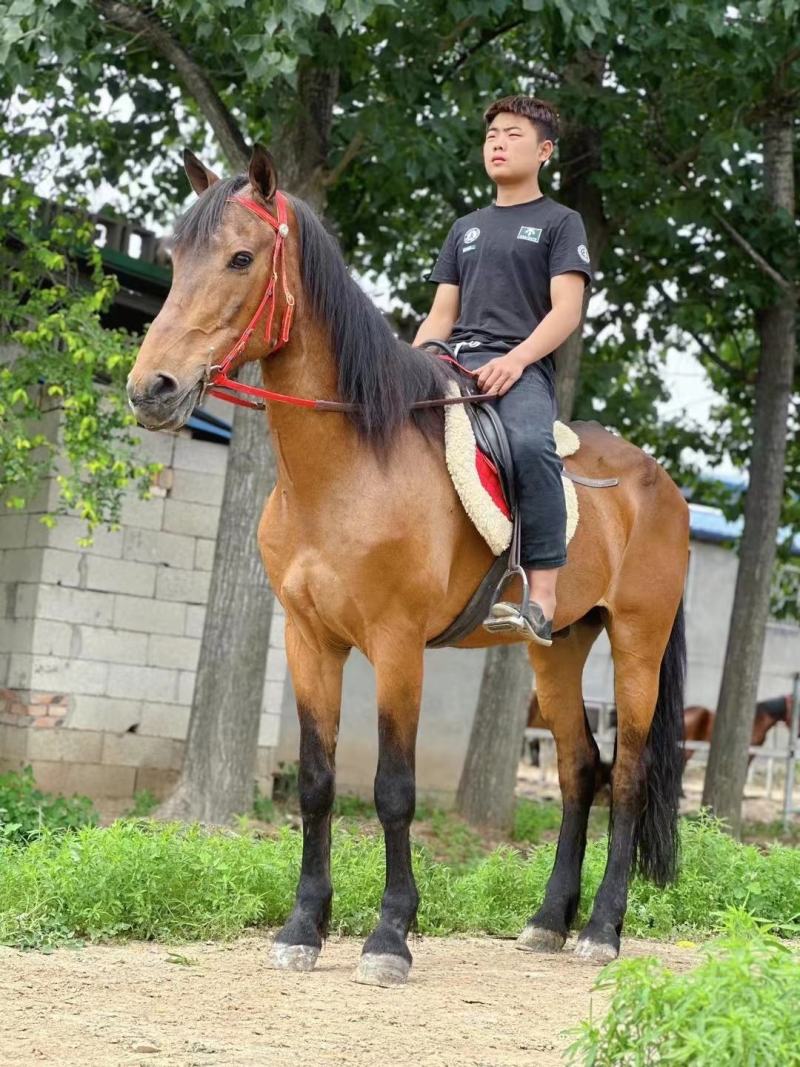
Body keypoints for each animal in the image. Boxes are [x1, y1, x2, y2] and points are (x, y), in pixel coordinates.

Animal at [126, 144, 689, 985]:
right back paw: (548, 921)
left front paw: (390, 934)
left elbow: (394, 789)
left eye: (239, 258)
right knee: (577, 768)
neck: (350, 466)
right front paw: (304, 926)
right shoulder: (309, 640)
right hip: (556, 648)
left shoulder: (396, 645)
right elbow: (318, 782)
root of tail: (663, 483)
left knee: (623, 776)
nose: (151, 389)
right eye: (174, 258)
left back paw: (601, 930)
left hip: (637, 644)